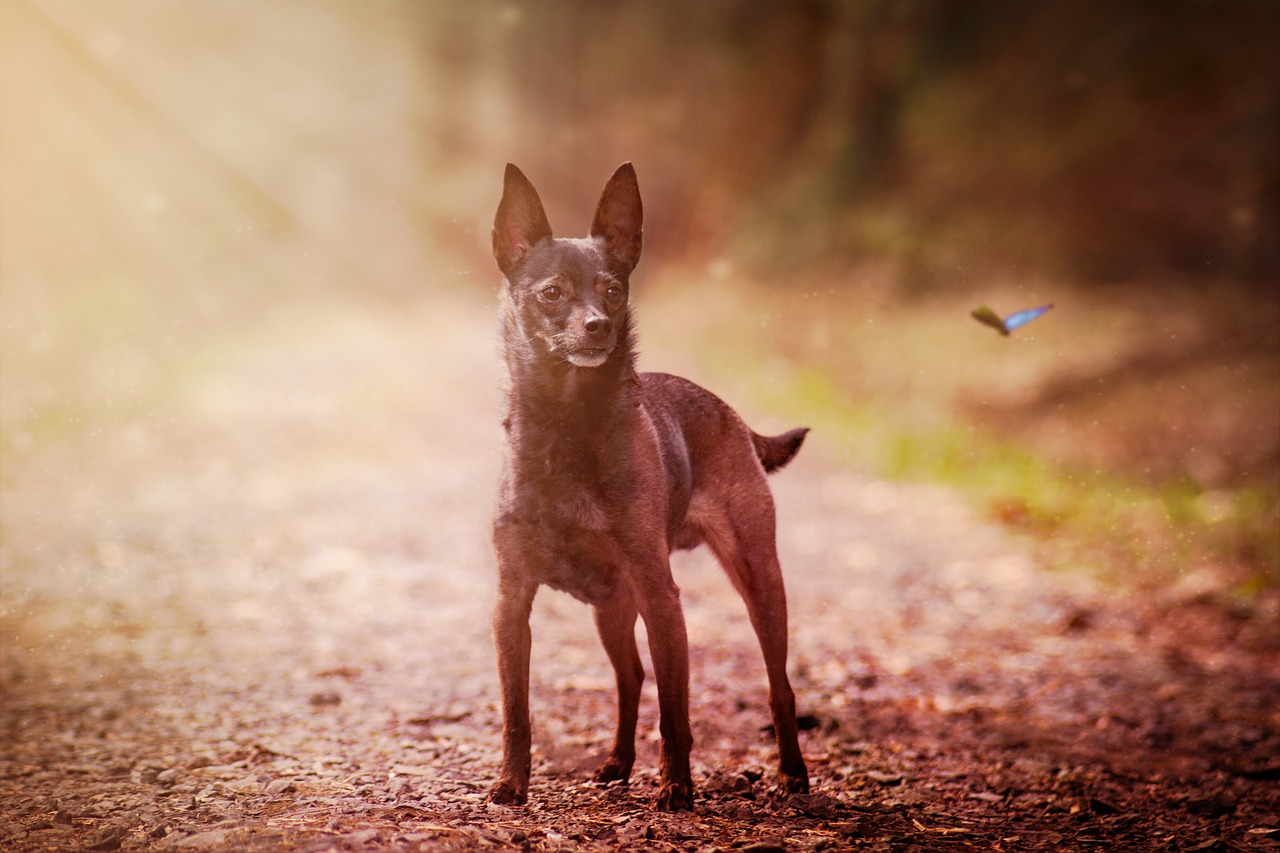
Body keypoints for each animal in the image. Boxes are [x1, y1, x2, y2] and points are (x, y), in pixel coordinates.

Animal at [488, 162, 808, 809]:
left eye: (613, 289)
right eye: (552, 292)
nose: (598, 326)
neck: (568, 427)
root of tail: (732, 414)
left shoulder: (662, 598)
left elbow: (675, 709)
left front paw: (676, 787)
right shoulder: (512, 603)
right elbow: (517, 711)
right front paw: (511, 783)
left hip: (759, 580)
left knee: (778, 684)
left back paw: (791, 774)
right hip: (613, 607)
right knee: (631, 676)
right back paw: (617, 762)